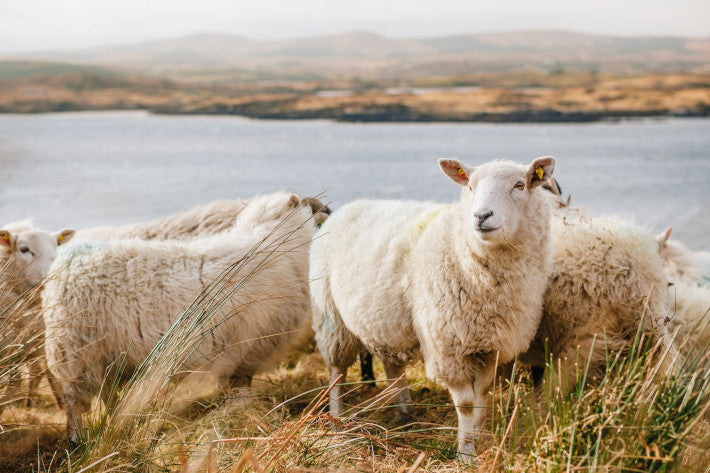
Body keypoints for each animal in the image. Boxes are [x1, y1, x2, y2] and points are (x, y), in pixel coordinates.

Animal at [42, 191, 318, 443]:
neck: (273, 242)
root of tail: (62, 266)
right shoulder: (248, 347)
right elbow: (240, 386)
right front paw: (242, 412)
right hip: (75, 351)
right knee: (73, 401)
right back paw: (77, 439)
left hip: (104, 356)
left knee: (107, 395)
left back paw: (116, 426)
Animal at [311, 157, 557, 462]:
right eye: (470, 186)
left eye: (520, 185)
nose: (481, 216)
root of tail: (345, 208)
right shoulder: (448, 346)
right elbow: (466, 405)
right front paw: (465, 454)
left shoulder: (490, 346)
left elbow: (482, 398)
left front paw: (475, 440)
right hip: (330, 316)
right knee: (337, 371)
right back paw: (337, 421)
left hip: (385, 321)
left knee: (393, 366)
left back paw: (406, 415)